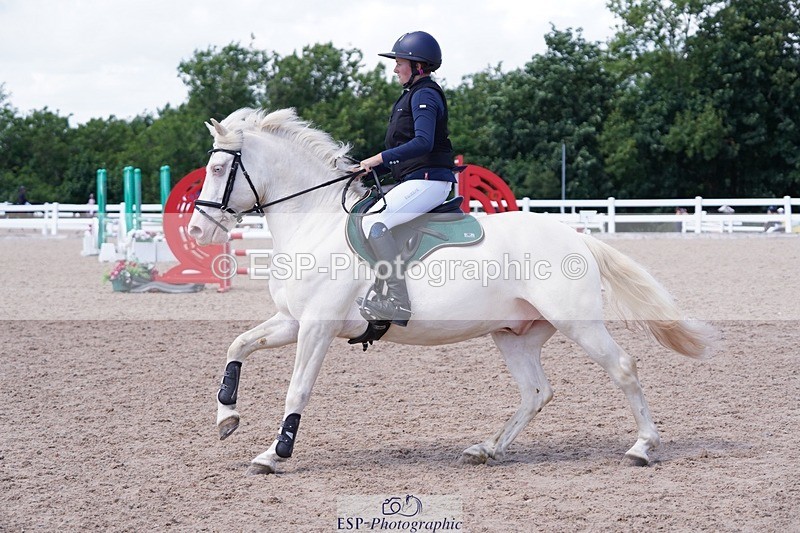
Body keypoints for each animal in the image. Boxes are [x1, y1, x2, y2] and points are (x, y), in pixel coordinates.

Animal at [187, 107, 716, 476]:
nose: (196, 230)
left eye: (218, 171)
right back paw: (487, 448)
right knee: (535, 391)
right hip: (515, 333)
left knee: (622, 367)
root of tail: (577, 237)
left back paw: (643, 447)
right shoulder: (292, 321)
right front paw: (226, 416)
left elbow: (297, 388)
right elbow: (238, 345)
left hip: (577, 323)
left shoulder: (317, 326)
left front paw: (274, 454)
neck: (315, 225)